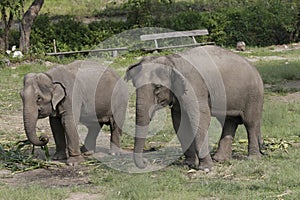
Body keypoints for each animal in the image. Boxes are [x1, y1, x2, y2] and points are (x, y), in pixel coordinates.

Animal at [125, 46, 264, 171]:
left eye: (158, 87)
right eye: (134, 84)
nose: (145, 162)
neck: (171, 60)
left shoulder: (194, 87)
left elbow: (200, 118)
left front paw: (205, 168)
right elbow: (179, 123)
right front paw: (190, 164)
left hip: (254, 95)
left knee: (250, 123)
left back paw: (253, 158)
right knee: (229, 121)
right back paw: (220, 159)